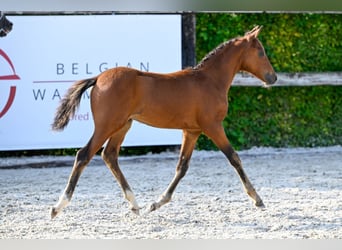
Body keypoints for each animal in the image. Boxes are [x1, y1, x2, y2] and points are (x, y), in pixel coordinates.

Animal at [50, 25, 276, 219]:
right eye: (261, 52)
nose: (272, 77)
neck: (210, 81)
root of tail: (98, 78)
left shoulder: (192, 131)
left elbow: (182, 166)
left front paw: (157, 203)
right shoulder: (212, 126)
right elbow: (234, 157)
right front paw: (257, 199)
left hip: (123, 125)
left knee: (109, 155)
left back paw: (135, 204)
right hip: (107, 125)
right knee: (84, 155)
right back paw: (58, 206)